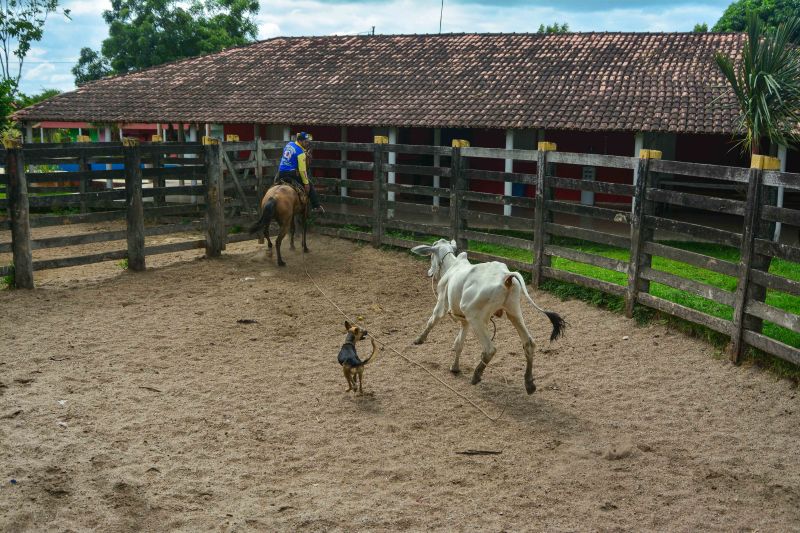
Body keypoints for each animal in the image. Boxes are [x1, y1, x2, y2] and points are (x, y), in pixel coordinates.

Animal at [410, 239, 564, 392]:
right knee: (528, 343)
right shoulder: (464, 321)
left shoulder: (442, 304)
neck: (452, 266)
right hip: (513, 311)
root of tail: (505, 275)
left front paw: (419, 339)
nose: (429, 272)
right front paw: (455, 367)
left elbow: (432, 321)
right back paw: (529, 383)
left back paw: (476, 375)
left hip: (475, 317)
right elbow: (459, 343)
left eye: (431, 255)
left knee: (489, 349)